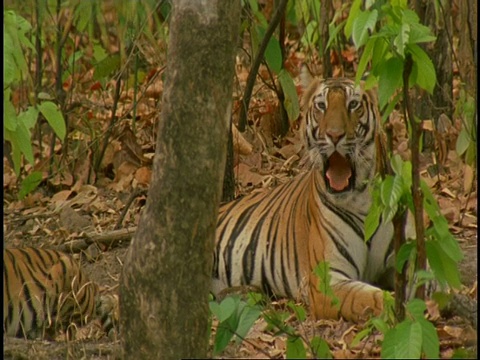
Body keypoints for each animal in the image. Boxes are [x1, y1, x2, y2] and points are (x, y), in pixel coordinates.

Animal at [213, 73, 394, 320]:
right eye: (321, 106)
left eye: (353, 104)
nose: (334, 135)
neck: (361, 198)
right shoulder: (327, 281)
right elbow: (375, 299)